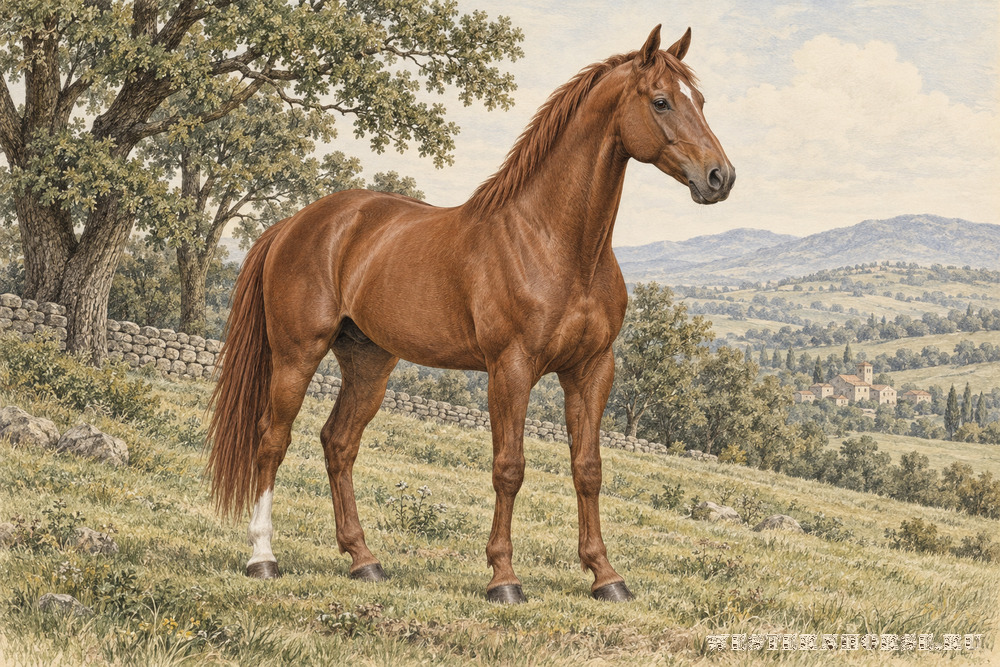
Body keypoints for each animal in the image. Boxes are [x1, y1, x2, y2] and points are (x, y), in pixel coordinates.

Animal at [207, 24, 734, 604]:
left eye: (700, 101)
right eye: (660, 101)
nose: (720, 177)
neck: (554, 243)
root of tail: (297, 222)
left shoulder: (592, 370)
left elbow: (588, 469)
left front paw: (605, 575)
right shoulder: (511, 369)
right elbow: (509, 468)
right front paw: (504, 578)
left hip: (369, 363)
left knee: (339, 444)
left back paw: (364, 561)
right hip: (296, 354)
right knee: (272, 440)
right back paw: (262, 557)